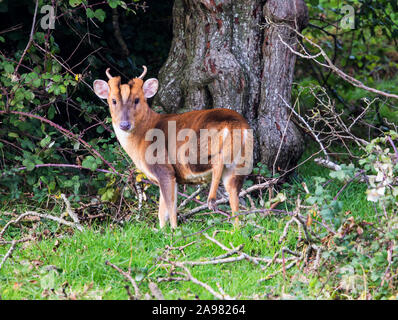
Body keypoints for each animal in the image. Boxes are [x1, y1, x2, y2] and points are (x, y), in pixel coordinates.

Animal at [94, 66, 252, 229]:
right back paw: (235, 228)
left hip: (196, 152)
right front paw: (162, 230)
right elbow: (162, 211)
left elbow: (170, 207)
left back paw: (211, 200)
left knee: (217, 162)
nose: (124, 124)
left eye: (137, 99)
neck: (142, 136)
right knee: (234, 197)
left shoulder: (164, 169)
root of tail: (235, 124)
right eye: (113, 100)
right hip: (241, 163)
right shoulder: (171, 177)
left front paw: (174, 230)